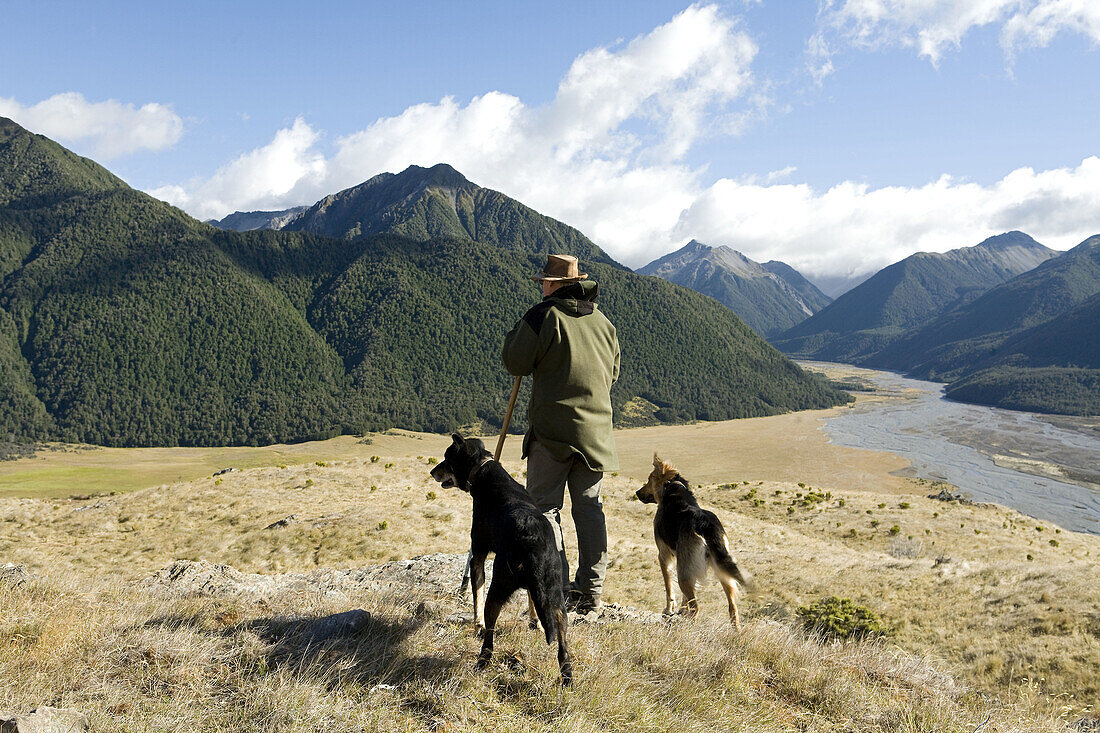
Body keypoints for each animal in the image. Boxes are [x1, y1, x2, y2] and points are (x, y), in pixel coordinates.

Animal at [426, 431, 572, 682]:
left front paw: (476, 625)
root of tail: (533, 548)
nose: (432, 471)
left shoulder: (477, 555)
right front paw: (535, 622)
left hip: (499, 587)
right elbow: (532, 600)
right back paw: (567, 680)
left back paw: (481, 663)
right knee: (563, 650)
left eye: (447, 458)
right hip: (557, 600)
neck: (483, 470)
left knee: (489, 637)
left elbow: (477, 597)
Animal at [638, 453, 748, 625]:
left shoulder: (664, 555)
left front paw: (669, 610)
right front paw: (681, 610)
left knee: (696, 607)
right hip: (722, 570)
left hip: (683, 573)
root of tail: (705, 525)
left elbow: (669, 588)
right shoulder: (683, 561)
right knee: (732, 608)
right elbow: (684, 598)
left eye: (649, 479)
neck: (672, 487)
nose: (637, 492)